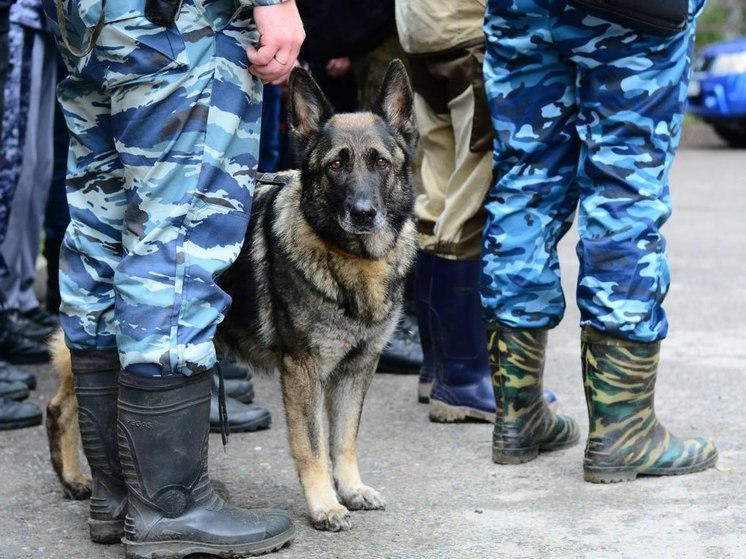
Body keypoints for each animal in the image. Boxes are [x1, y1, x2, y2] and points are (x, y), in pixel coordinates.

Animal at [45, 60, 418, 532]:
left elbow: (344, 439)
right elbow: (313, 446)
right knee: (61, 407)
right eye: (337, 165)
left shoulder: (357, 370)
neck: (350, 258)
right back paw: (77, 479)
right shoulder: (303, 374)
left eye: (380, 163)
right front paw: (324, 504)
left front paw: (350, 489)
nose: (364, 213)